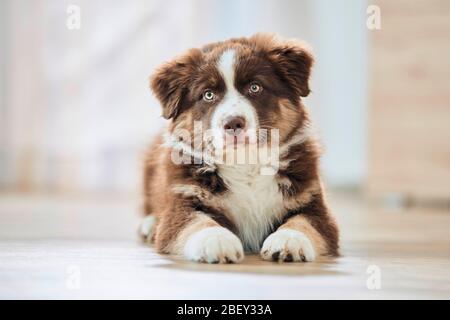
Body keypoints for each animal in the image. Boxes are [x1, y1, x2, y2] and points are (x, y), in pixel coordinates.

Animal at [141, 33, 338, 264]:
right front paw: (217, 241)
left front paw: (289, 240)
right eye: (208, 95)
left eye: (255, 87)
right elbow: (197, 221)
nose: (233, 123)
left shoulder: (313, 201)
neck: (245, 162)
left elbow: (304, 222)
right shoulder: (181, 202)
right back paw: (148, 225)